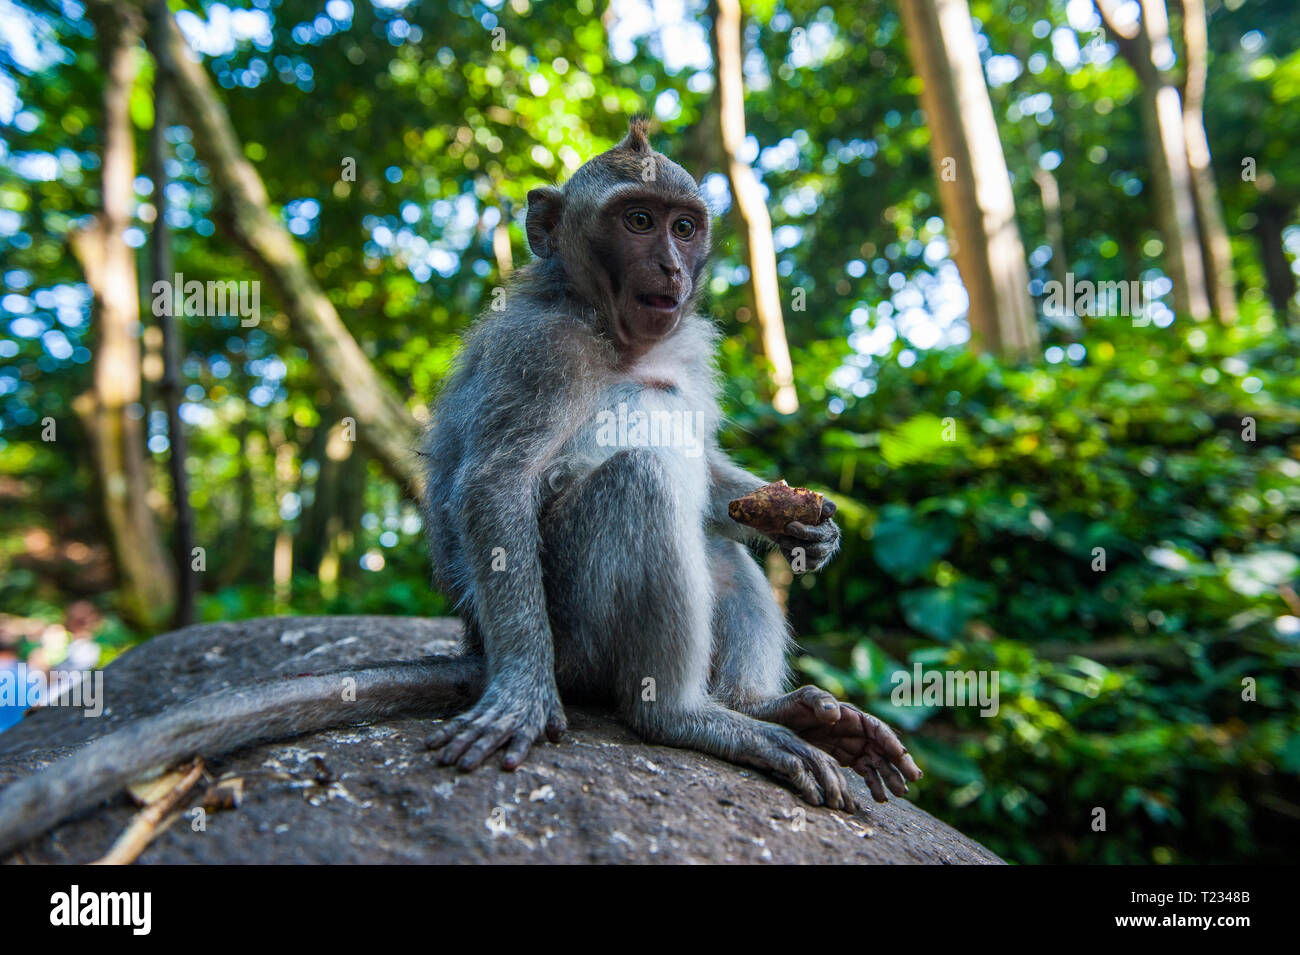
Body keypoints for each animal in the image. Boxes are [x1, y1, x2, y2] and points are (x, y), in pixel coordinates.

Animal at [0, 119, 920, 857]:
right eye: (636, 219)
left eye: (685, 225)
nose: (670, 262)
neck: (618, 335)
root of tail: (477, 641)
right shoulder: (541, 350)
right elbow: (496, 483)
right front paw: (523, 693)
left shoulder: (688, 347)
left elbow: (714, 480)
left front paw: (807, 524)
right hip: (574, 630)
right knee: (641, 482)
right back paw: (686, 715)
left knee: (719, 550)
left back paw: (775, 707)